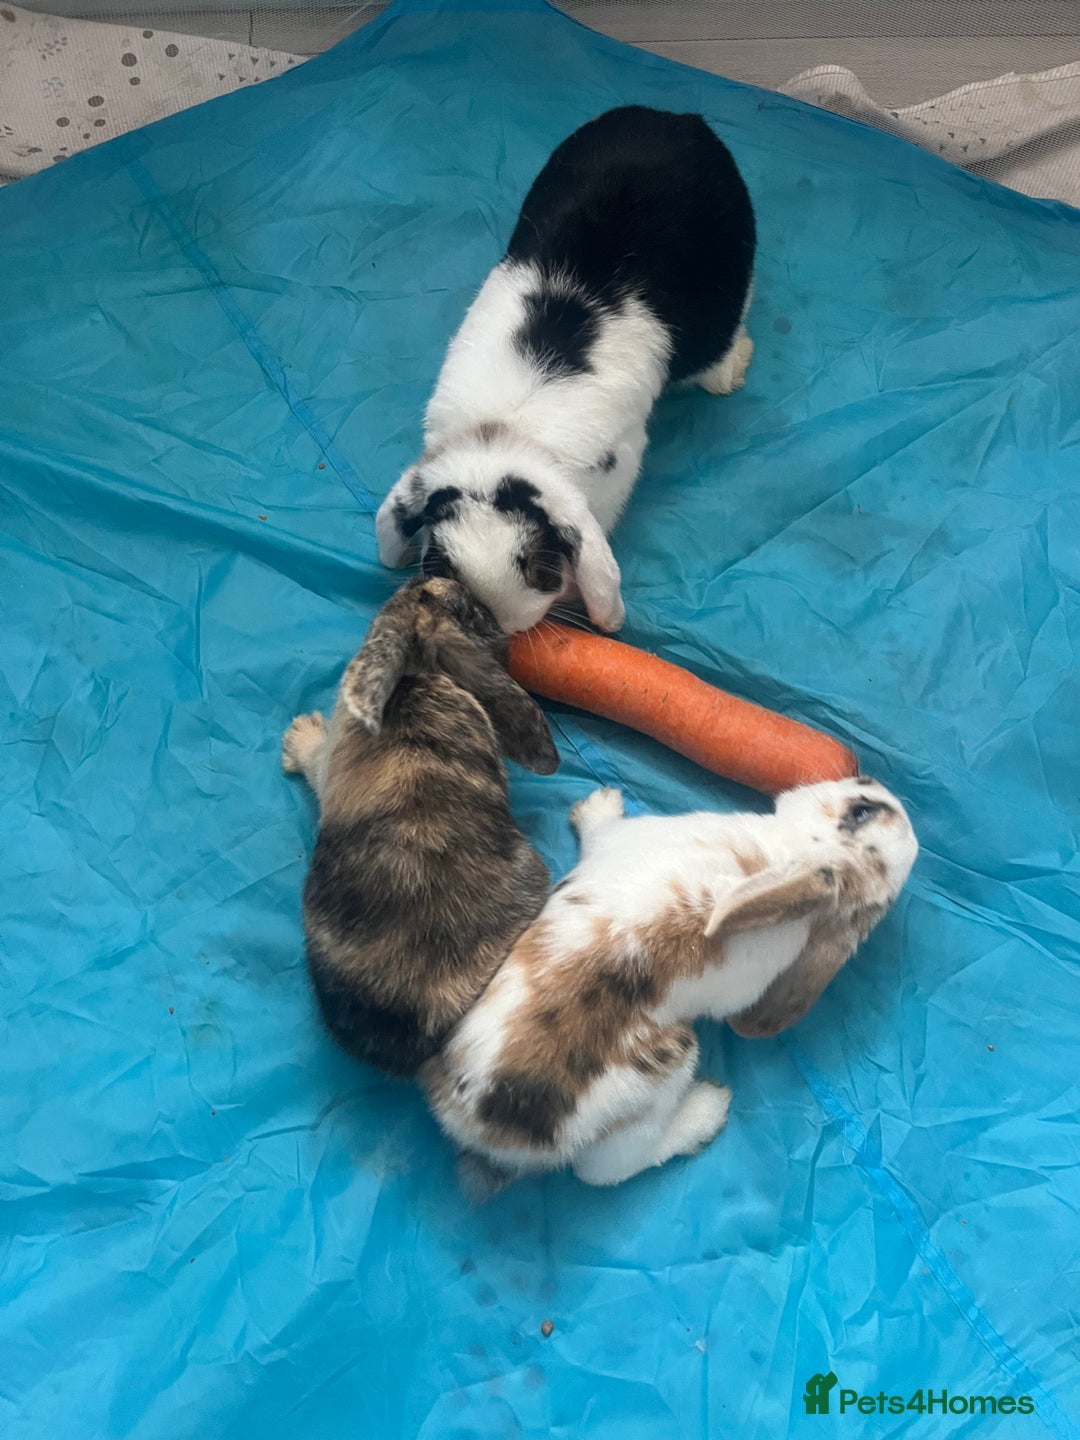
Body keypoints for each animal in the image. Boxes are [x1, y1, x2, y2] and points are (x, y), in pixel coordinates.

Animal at [281, 576, 559, 1077]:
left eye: (426, 592)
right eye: (474, 612)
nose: (416, 577)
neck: (418, 672)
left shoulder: (330, 762)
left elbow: (315, 761)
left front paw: (300, 737)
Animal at [376, 105, 756, 636]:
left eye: (538, 565)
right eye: (439, 563)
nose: (493, 621)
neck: (505, 435)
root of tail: (681, 119)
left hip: (728, 265)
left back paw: (732, 369)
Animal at [424, 776, 917, 1191]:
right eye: (863, 811)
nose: (872, 779)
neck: (791, 852)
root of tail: (485, 1128)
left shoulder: (619, 840)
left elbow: (602, 829)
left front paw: (598, 804)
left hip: (663, 1078)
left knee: (605, 1171)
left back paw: (707, 1111)